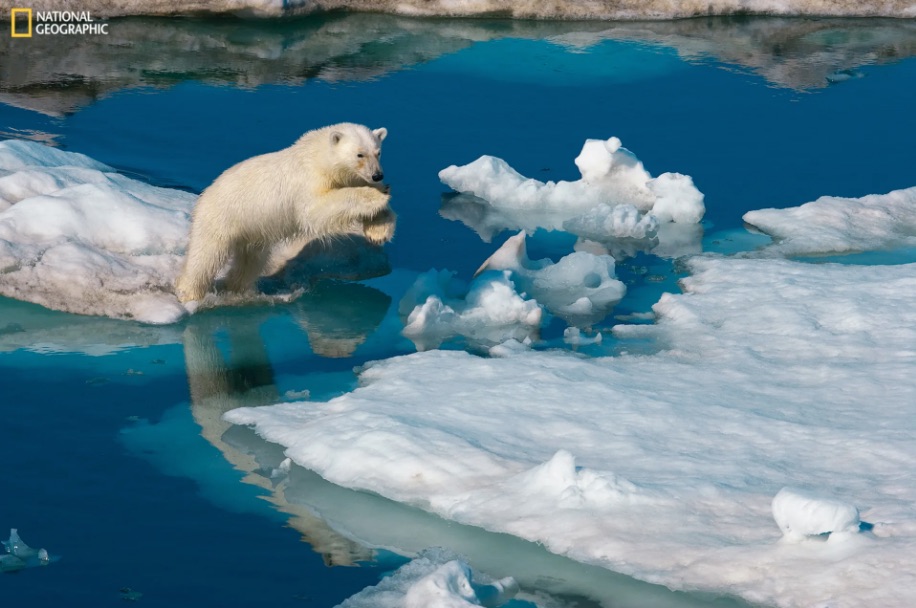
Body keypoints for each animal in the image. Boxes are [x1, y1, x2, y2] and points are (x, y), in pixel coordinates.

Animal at [177, 123, 396, 304]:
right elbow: (317, 210)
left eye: (378, 152)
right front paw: (377, 195)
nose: (378, 175)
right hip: (220, 217)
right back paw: (189, 293)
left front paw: (378, 231)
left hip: (252, 230)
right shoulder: (308, 180)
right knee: (205, 257)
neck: (317, 156)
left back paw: (236, 288)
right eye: (360, 154)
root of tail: (205, 194)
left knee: (250, 260)